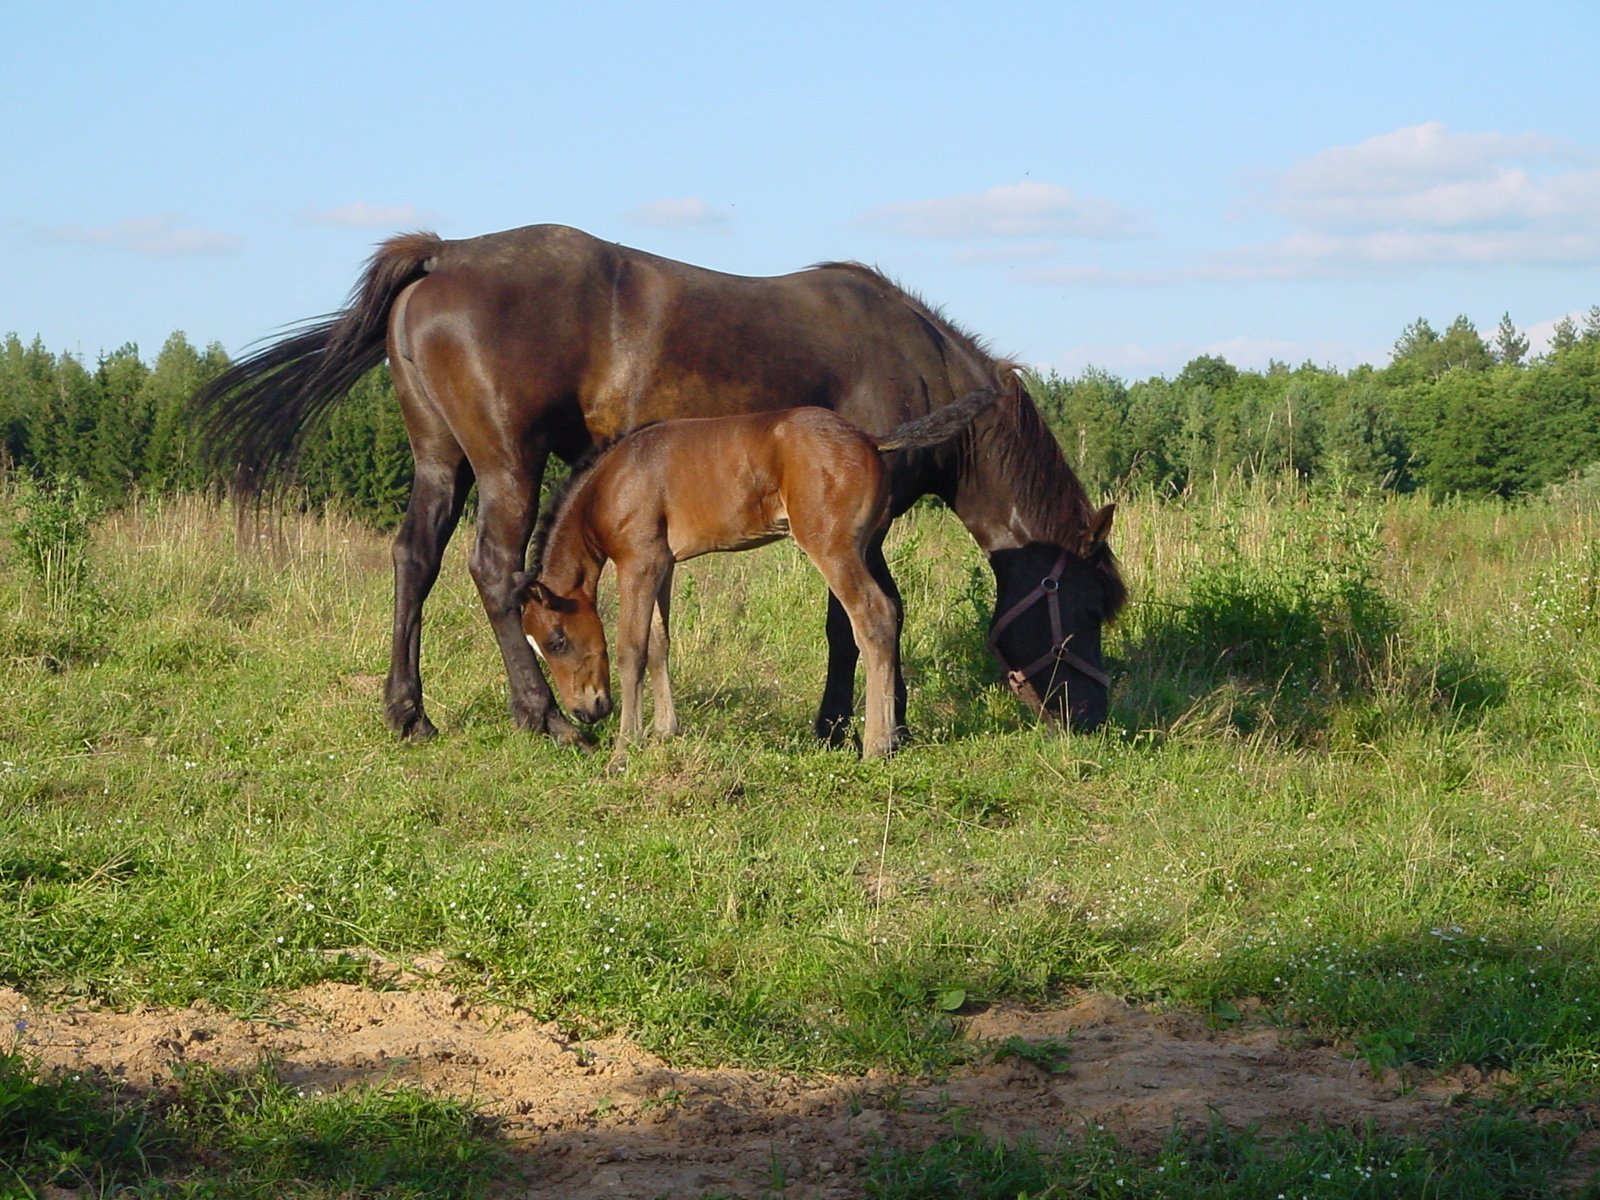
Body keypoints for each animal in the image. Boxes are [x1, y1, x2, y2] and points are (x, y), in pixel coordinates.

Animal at [515, 395, 985, 771]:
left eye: (557, 640)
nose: (586, 711)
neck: (612, 482)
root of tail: (868, 439)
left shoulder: (638, 561)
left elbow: (632, 650)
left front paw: (623, 752)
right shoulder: (663, 563)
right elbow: (659, 643)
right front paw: (665, 732)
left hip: (831, 546)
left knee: (874, 617)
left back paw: (876, 746)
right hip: (865, 546)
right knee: (889, 612)